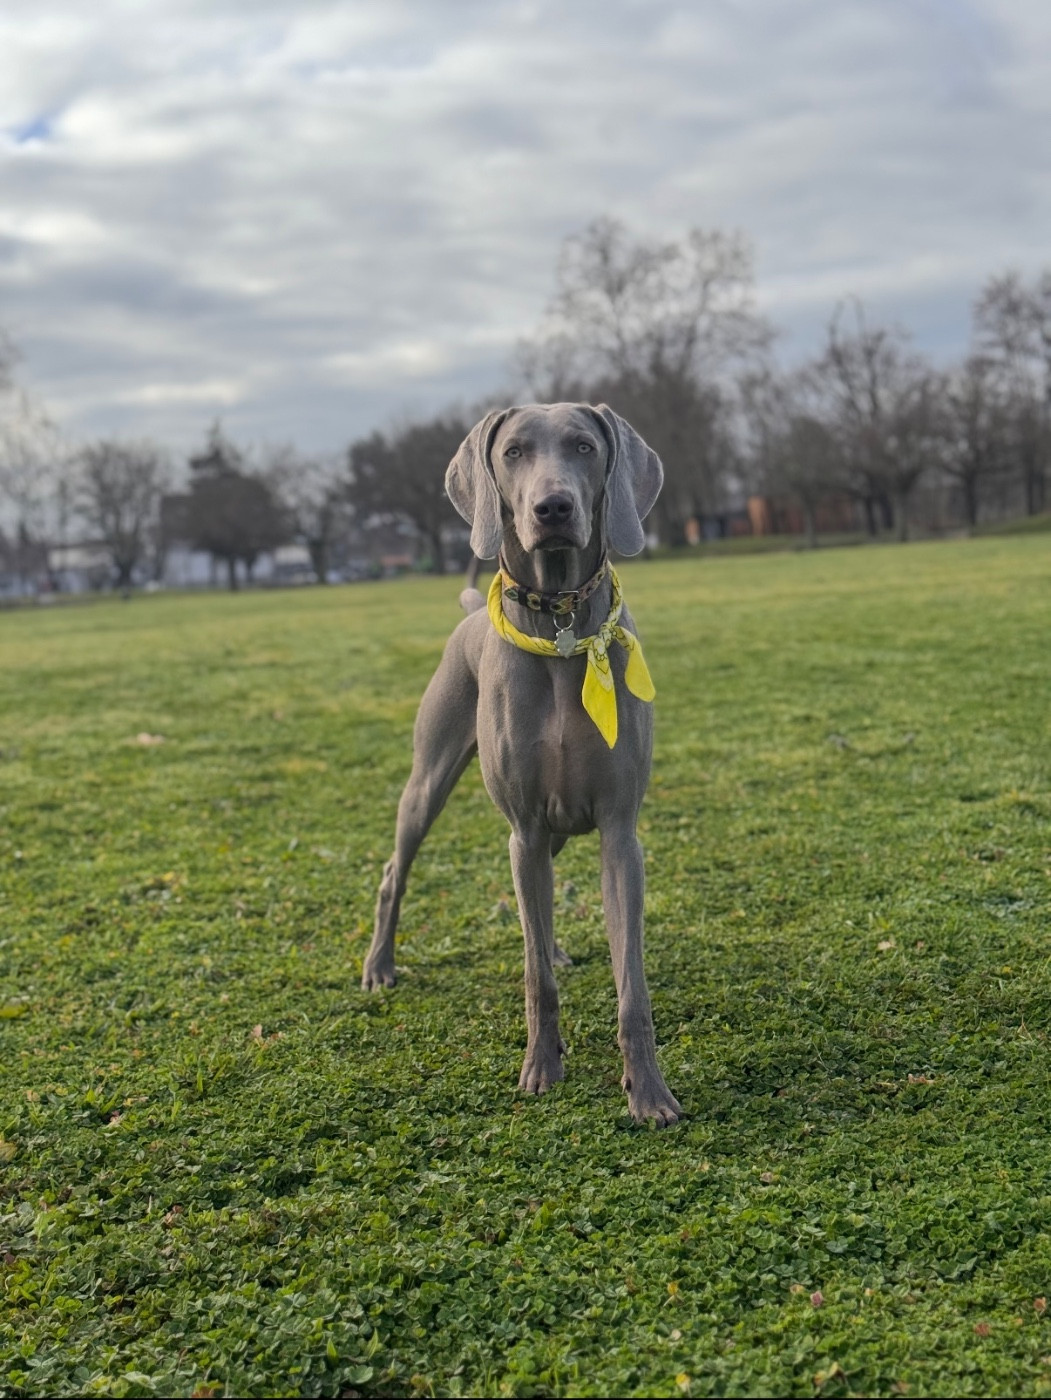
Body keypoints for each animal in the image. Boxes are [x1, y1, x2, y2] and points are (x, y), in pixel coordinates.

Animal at [362, 402, 681, 1126]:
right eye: (512, 453)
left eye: (585, 446)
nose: (553, 507)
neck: (559, 627)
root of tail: (471, 614)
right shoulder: (525, 829)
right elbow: (535, 977)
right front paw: (541, 1067)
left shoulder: (619, 831)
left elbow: (632, 983)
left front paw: (648, 1091)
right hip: (430, 780)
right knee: (396, 870)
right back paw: (380, 966)